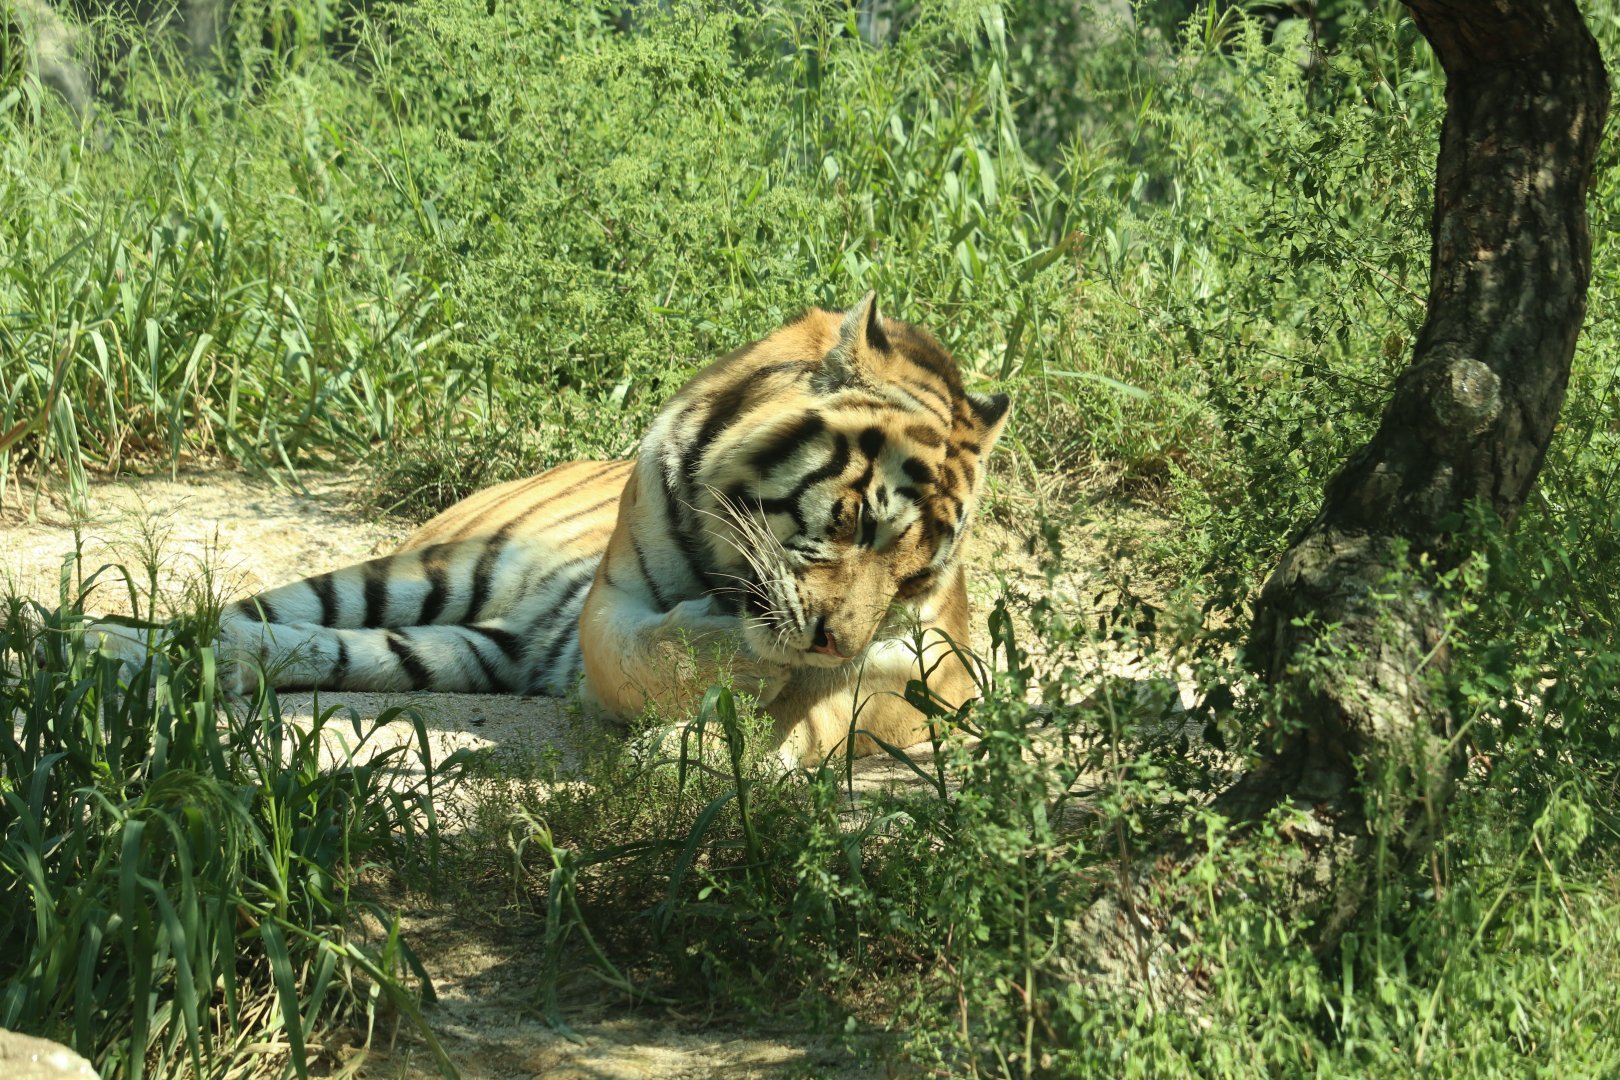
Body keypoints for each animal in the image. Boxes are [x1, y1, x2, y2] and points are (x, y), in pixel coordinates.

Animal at [87, 294, 1010, 766]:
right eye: (853, 520)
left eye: (916, 578)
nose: (827, 641)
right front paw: (733, 666)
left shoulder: (917, 668)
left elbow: (818, 717)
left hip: (468, 648)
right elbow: (651, 652)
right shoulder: (611, 602)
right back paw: (95, 640)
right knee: (245, 614)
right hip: (429, 572)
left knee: (313, 650)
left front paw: (705, 748)